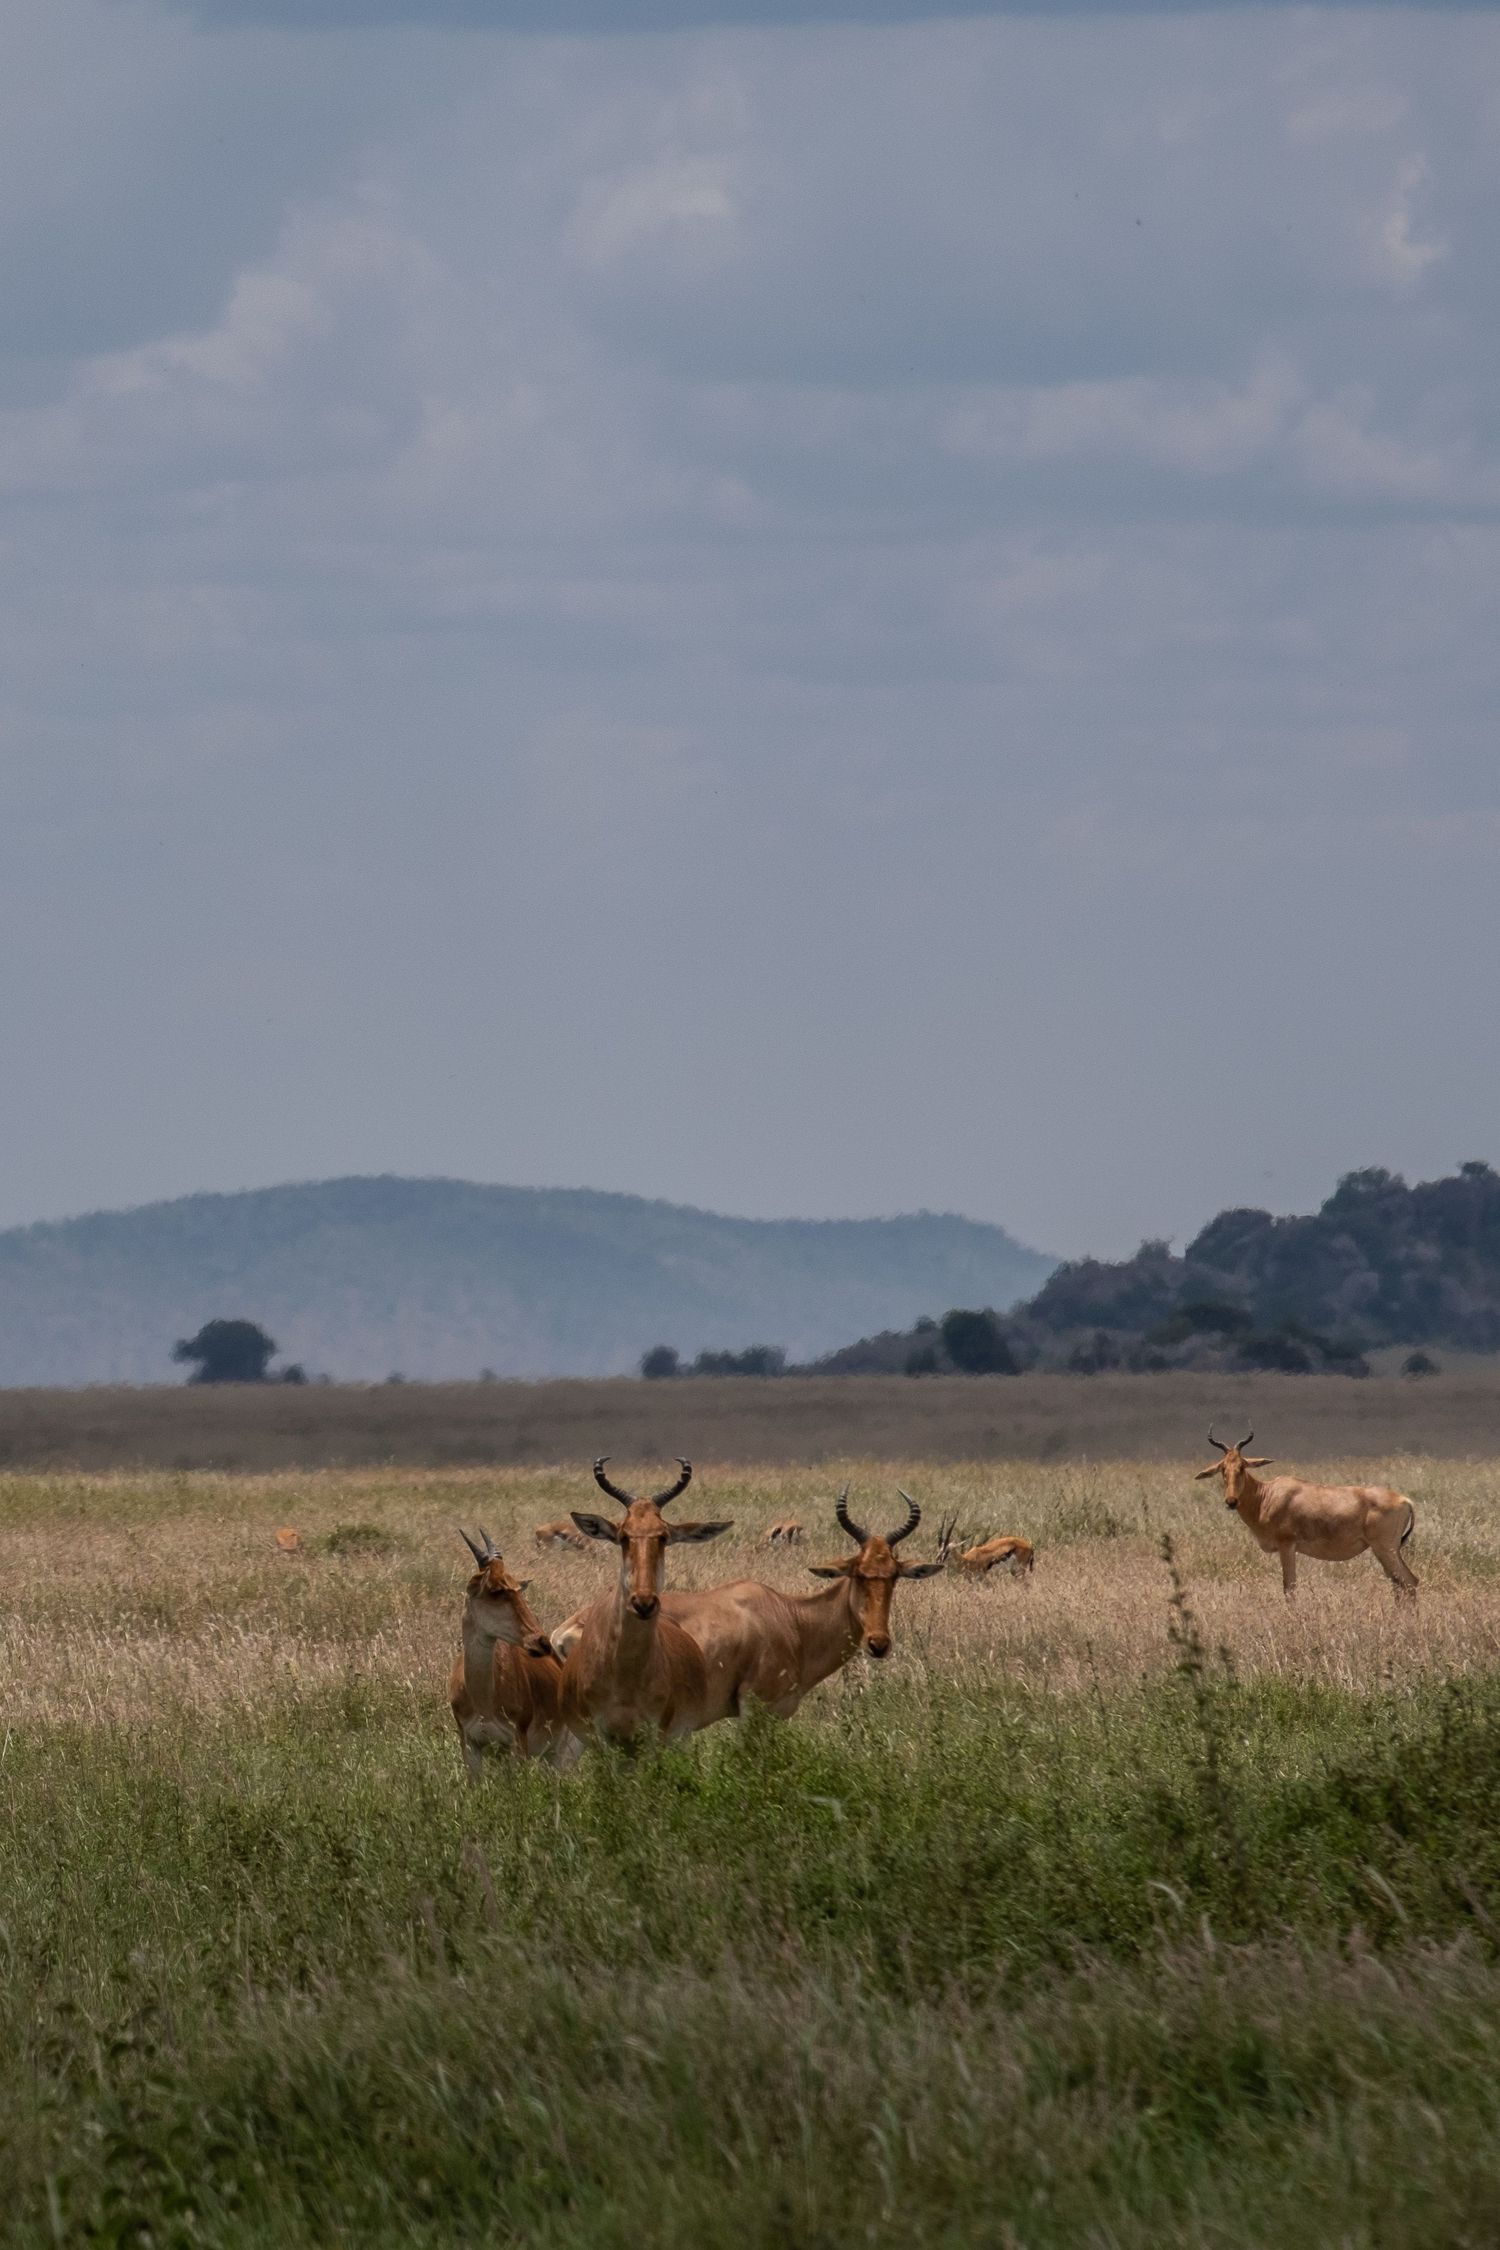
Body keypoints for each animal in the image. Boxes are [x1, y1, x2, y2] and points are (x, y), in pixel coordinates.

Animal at [449, 1529, 573, 1775]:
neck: (483, 1701)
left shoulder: (516, 1744)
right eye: (495, 1589)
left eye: (517, 1588)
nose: (541, 1642)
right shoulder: (470, 1744)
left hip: (558, 1751)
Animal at [557, 1459, 733, 1746]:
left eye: (663, 1535)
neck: (625, 1673)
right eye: (623, 1535)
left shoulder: (654, 1735)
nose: (644, 1603)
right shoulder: (602, 1737)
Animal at [1195, 1430, 1418, 1603]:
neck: (1267, 1495)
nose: (1231, 1501)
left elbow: (1289, 1587)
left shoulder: (1287, 1545)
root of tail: (1404, 1500)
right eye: (1223, 1468)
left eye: (1242, 1467)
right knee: (1399, 1584)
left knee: (1408, 1582)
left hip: (1385, 1549)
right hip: (1387, 1551)